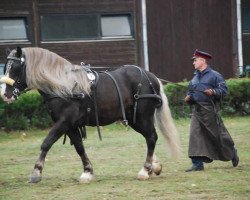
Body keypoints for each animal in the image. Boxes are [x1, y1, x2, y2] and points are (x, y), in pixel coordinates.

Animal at [0, 46, 180, 183]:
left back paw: (145, 169)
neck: (64, 86)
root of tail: (151, 77)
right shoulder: (70, 125)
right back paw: (154, 166)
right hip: (134, 119)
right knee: (149, 137)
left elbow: (46, 143)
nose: (5, 94)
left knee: (151, 137)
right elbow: (79, 147)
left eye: (16, 68)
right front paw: (87, 171)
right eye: (5, 67)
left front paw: (36, 172)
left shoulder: (63, 122)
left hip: (142, 117)